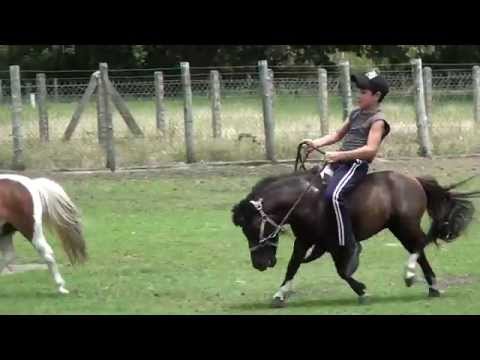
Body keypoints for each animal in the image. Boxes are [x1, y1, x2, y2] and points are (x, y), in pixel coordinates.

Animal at [232, 159, 476, 308]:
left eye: (251, 228)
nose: (259, 264)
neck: (306, 200)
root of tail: (414, 180)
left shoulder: (333, 243)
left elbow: (343, 271)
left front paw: (362, 291)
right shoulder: (303, 240)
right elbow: (293, 266)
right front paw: (279, 294)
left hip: (406, 225)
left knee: (420, 244)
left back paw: (411, 275)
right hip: (397, 227)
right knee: (420, 248)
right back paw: (431, 286)